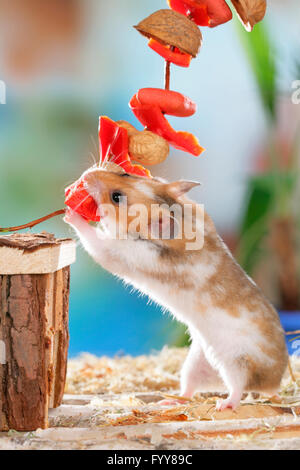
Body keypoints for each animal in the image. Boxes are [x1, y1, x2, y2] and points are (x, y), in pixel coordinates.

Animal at [65, 166, 288, 412]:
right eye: (126, 174)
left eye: (116, 197)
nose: (87, 175)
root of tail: (274, 383)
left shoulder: (121, 253)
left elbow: (96, 240)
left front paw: (69, 214)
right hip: (195, 363)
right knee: (189, 389)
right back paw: (168, 401)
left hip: (238, 363)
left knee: (238, 387)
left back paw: (224, 404)